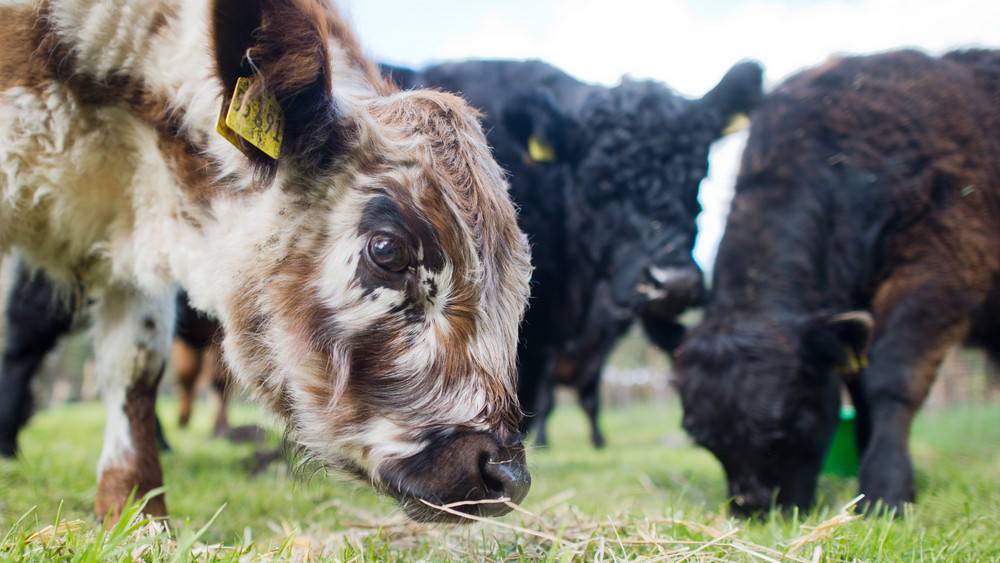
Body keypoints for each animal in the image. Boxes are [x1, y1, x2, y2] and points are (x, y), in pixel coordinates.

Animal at [672, 50, 1000, 516]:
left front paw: (886, 488)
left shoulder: (943, 263)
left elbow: (890, 379)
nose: (756, 510)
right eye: (706, 440)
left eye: (789, 423)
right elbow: (860, 394)